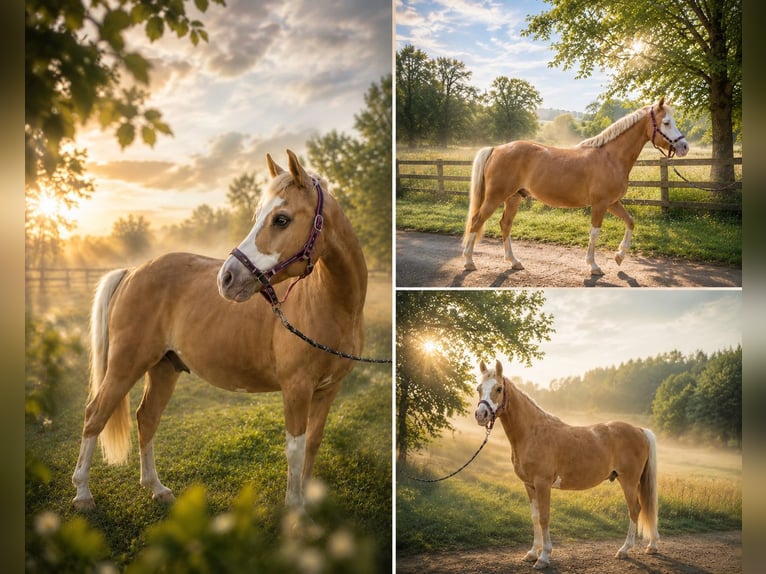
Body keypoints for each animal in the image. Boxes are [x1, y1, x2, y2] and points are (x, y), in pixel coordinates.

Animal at [72, 150, 368, 511]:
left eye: (281, 219)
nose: (227, 278)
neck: (330, 305)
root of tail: (132, 271)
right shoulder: (296, 390)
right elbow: (295, 451)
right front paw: (295, 508)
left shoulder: (327, 390)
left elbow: (312, 444)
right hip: (125, 366)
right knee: (95, 415)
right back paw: (83, 493)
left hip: (164, 368)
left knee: (146, 419)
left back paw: (157, 488)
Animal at [462, 99, 689, 275]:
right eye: (666, 122)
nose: (684, 146)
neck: (610, 157)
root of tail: (497, 149)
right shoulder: (600, 205)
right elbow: (594, 233)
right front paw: (593, 266)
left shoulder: (612, 203)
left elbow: (630, 222)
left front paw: (619, 256)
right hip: (494, 197)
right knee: (476, 221)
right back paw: (469, 261)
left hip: (513, 198)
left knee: (505, 224)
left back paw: (514, 261)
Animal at [474, 360, 659, 570]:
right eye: (479, 388)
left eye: (498, 388)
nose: (481, 414)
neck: (532, 433)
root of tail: (639, 430)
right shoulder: (529, 485)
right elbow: (535, 517)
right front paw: (532, 553)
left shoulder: (543, 484)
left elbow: (545, 517)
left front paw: (543, 557)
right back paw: (651, 546)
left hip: (629, 481)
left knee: (635, 509)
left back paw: (624, 550)